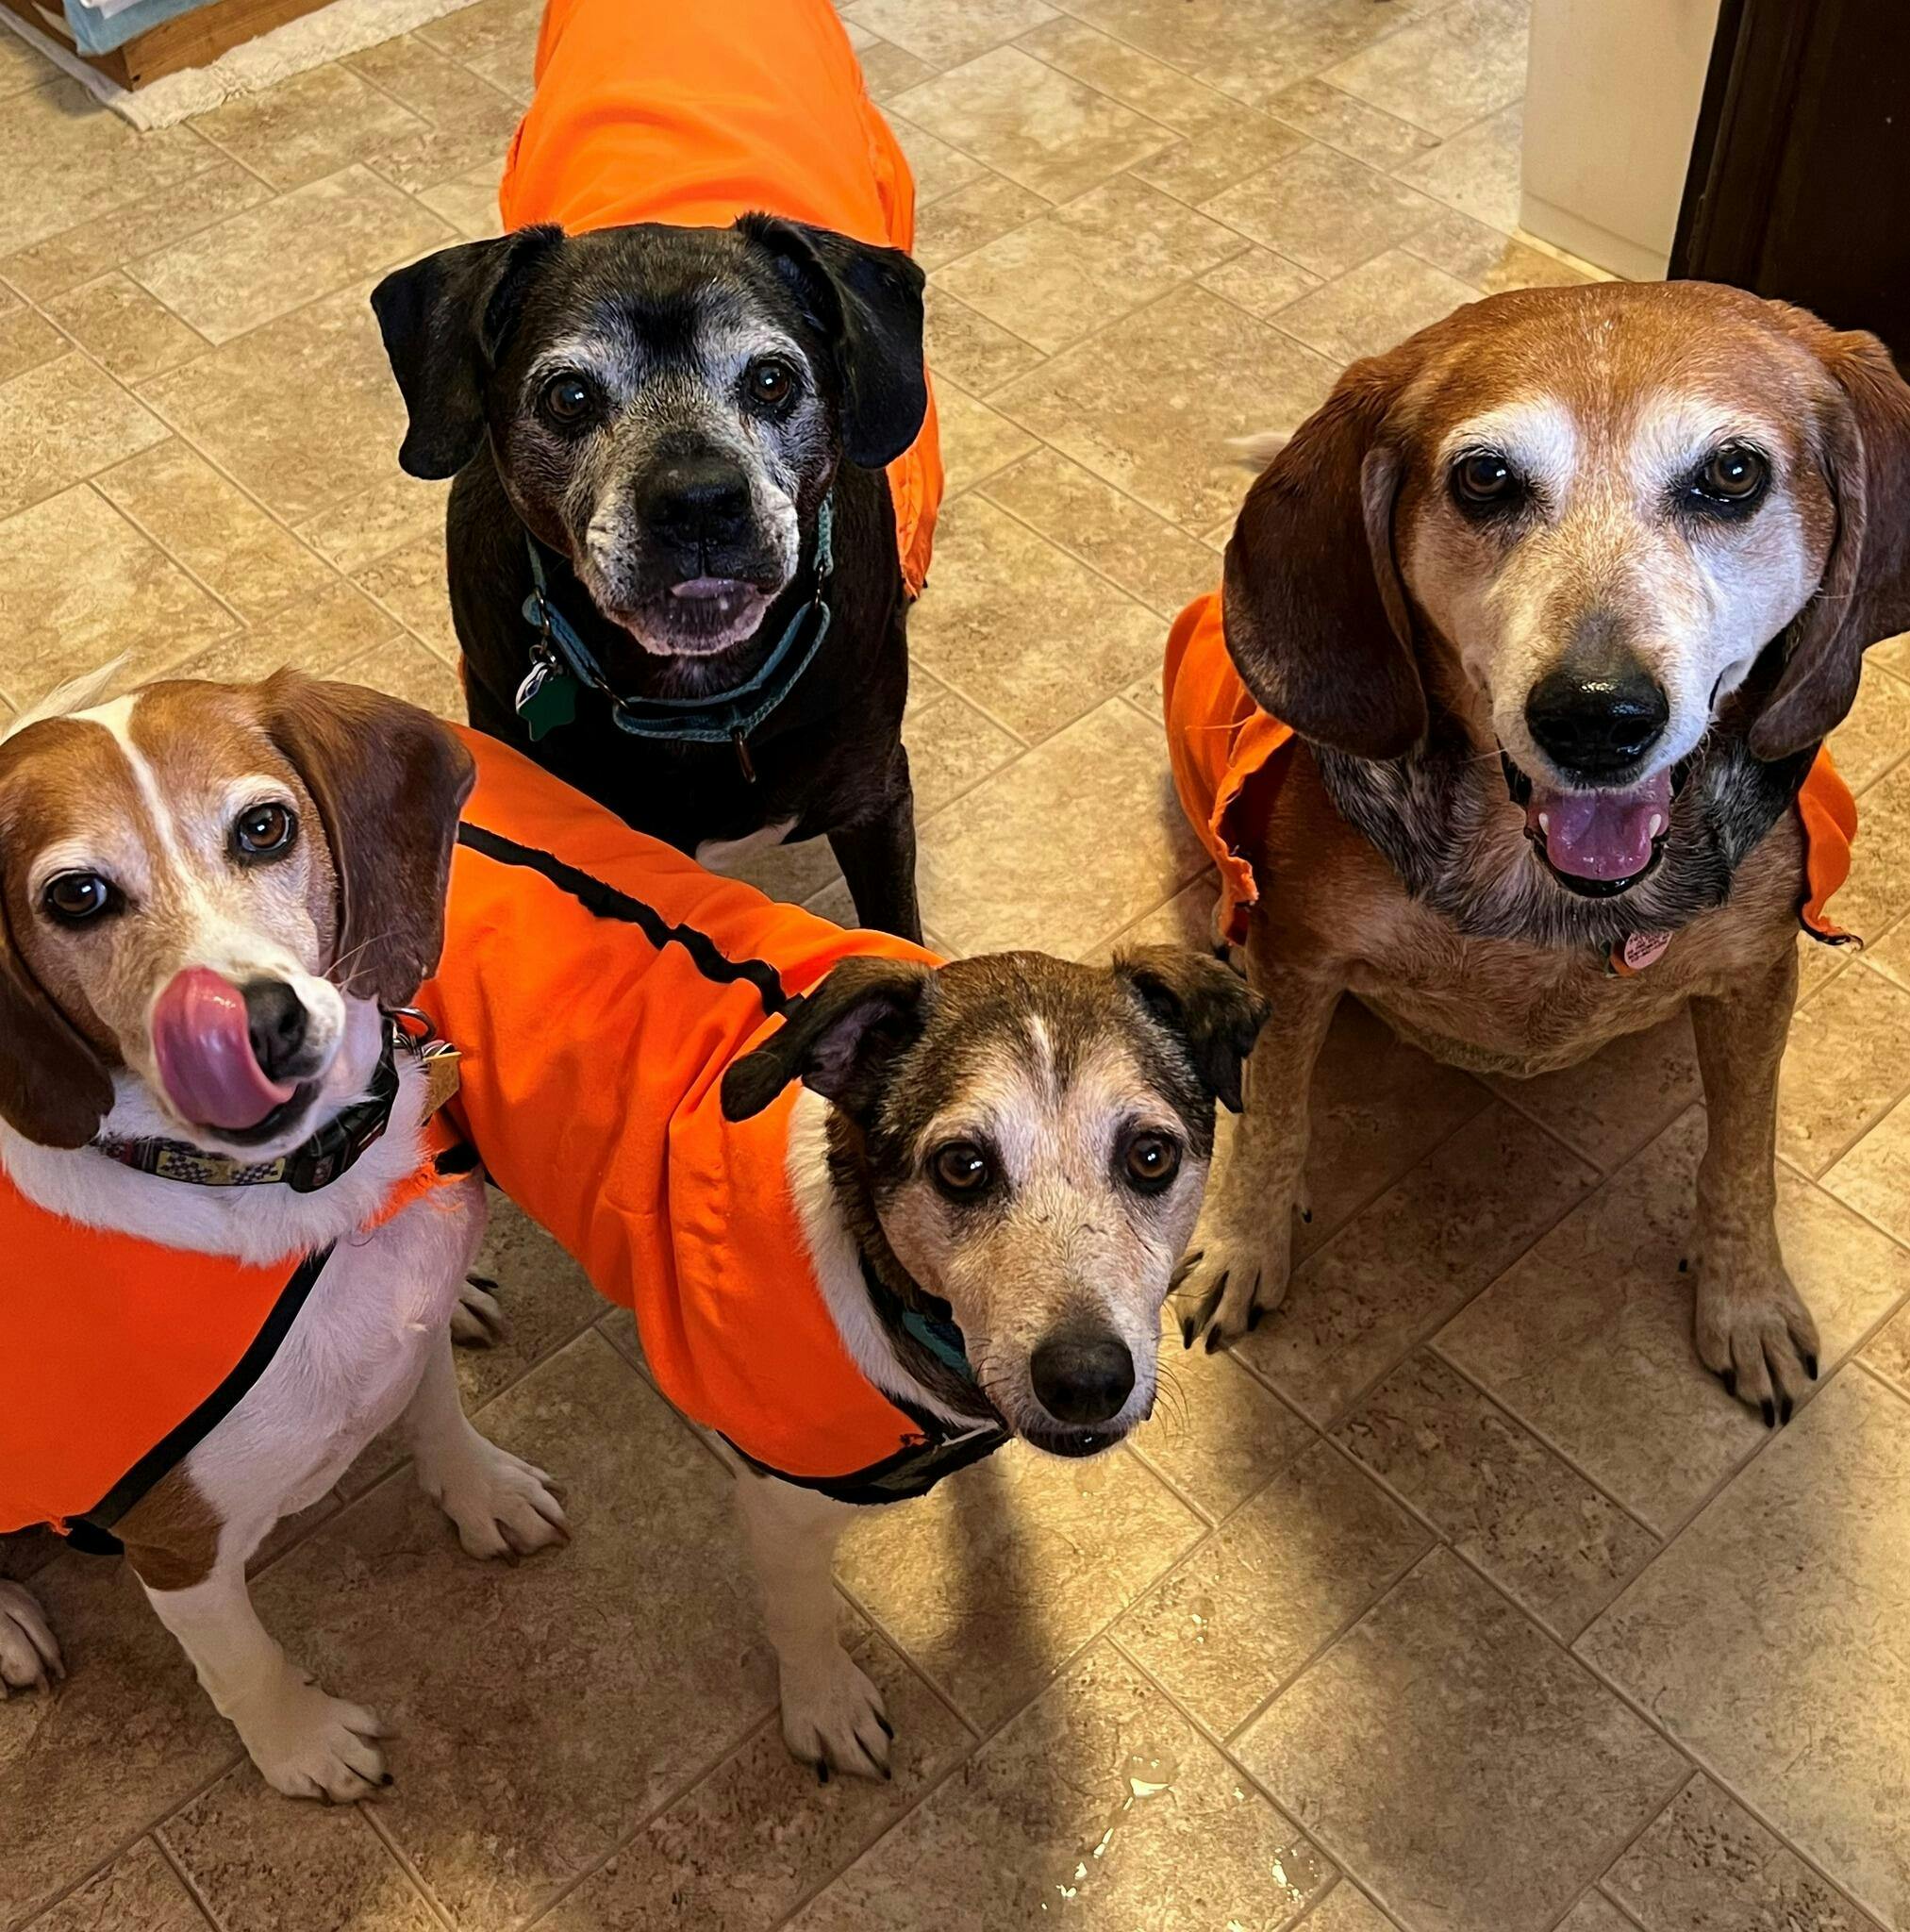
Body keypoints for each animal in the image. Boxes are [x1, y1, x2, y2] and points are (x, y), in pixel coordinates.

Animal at [0, 672, 566, 1797]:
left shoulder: (405, 1325)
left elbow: (436, 1411)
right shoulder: (181, 1551)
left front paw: (480, 1490)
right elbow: (243, 1661)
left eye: (264, 827)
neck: (297, 1190)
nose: (255, 1024)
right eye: (76, 896)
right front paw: (304, 1745)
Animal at [416, 727, 1268, 1777]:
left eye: (1151, 1155)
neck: (883, 1283)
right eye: (961, 1165)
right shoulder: (780, 1498)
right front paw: (823, 1705)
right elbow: (801, 1613)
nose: (1084, 1380)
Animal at [1167, 281, 1910, 1425]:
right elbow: (1274, 1121)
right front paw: (1244, 1242)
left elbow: (1743, 1154)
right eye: (1484, 478)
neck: (1547, 903)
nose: (1596, 717)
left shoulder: (1754, 979)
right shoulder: (1297, 959)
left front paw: (1745, 1299)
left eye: (1733, 474)